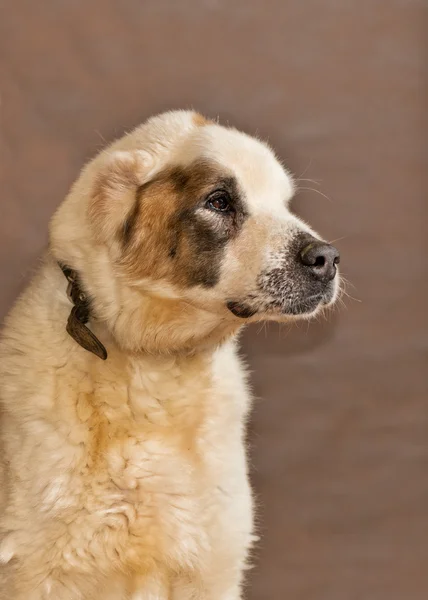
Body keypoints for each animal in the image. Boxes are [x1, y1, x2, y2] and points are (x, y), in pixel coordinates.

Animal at [0, 110, 342, 596]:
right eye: (219, 202)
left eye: (284, 204)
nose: (327, 258)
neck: (156, 365)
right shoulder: (37, 573)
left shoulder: (213, 567)